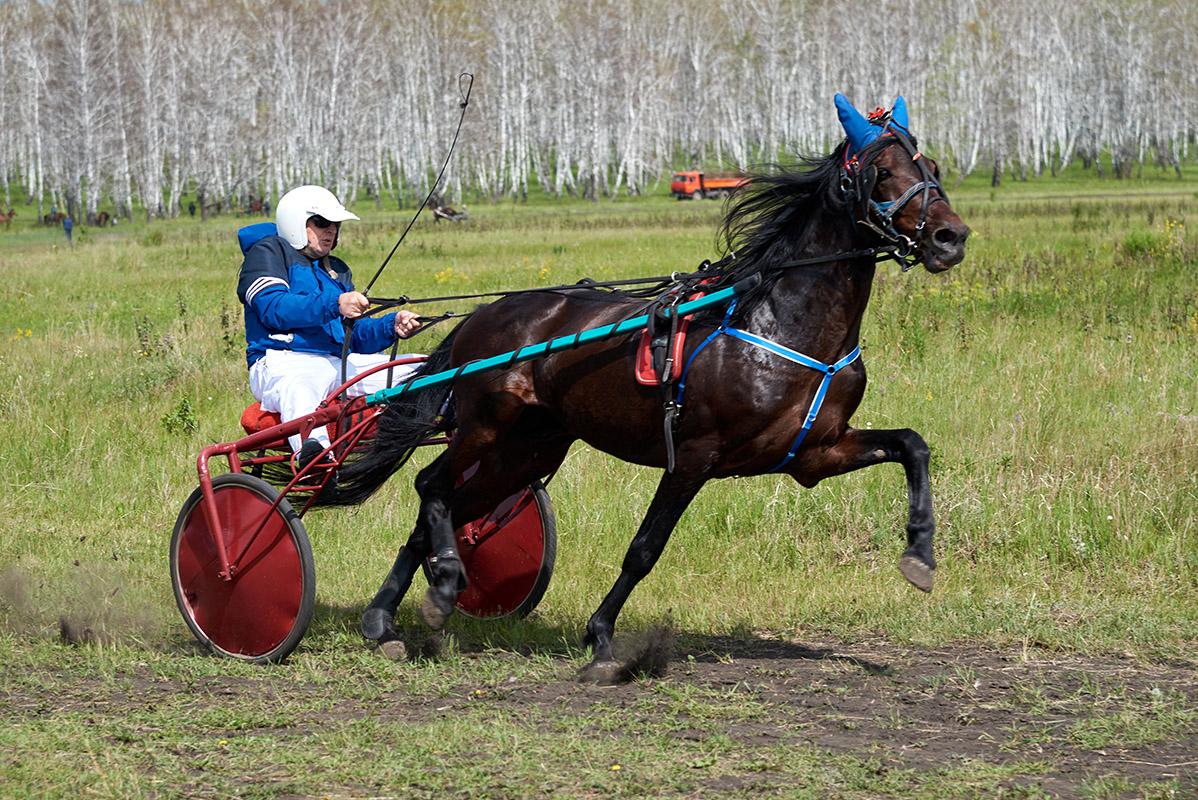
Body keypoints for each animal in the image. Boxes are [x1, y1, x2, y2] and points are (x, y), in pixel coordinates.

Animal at [323, 95, 967, 680]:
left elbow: (912, 444)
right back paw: (439, 587)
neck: (781, 322)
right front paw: (602, 640)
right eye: (883, 171)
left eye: (934, 167)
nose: (950, 237)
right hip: (485, 426)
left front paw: (920, 554)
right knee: (431, 484)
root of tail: (485, 313)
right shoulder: (695, 456)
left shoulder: (814, 452)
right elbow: (644, 548)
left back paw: (388, 618)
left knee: (452, 505)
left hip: (529, 449)